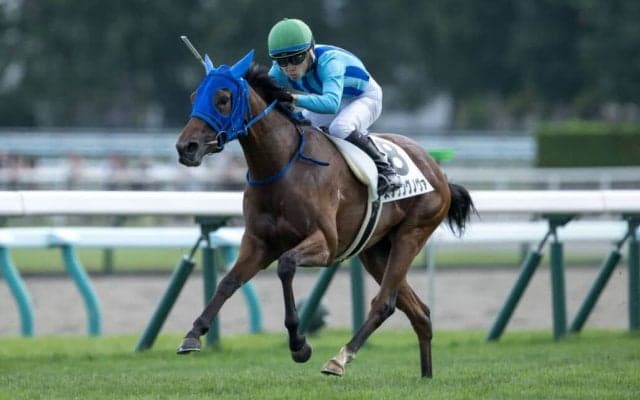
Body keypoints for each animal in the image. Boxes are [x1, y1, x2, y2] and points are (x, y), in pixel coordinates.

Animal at [175, 50, 474, 378]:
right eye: (194, 96)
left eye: (223, 99)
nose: (186, 147)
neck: (281, 166)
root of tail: (437, 170)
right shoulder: (258, 243)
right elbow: (228, 282)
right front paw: (193, 335)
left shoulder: (326, 244)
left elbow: (286, 266)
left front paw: (299, 344)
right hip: (375, 251)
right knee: (419, 312)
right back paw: (425, 376)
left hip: (412, 234)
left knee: (384, 302)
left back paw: (339, 359)